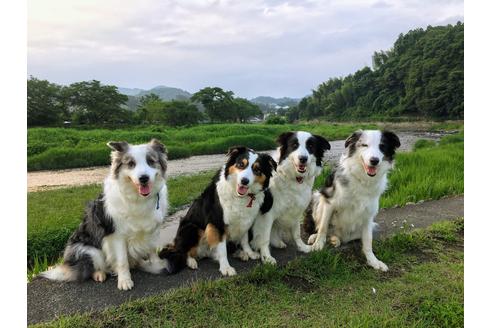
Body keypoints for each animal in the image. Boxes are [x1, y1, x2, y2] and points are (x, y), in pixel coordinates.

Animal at [39, 138, 169, 290]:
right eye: (131, 164)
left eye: (151, 161)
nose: (144, 178)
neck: (137, 198)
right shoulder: (117, 235)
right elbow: (122, 260)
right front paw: (124, 281)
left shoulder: (152, 228)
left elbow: (152, 249)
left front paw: (157, 265)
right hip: (89, 250)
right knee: (95, 266)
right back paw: (99, 274)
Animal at [160, 146, 276, 276]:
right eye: (241, 164)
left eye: (257, 169)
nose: (244, 181)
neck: (239, 195)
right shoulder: (217, 223)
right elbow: (222, 248)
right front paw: (226, 267)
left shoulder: (245, 220)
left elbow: (245, 239)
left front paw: (249, 252)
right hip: (191, 228)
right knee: (184, 251)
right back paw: (191, 261)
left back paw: (240, 254)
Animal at [304, 129, 400, 270]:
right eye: (364, 145)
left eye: (382, 146)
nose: (374, 160)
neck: (362, 179)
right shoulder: (329, 202)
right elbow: (323, 227)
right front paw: (318, 245)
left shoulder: (369, 213)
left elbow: (368, 241)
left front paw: (373, 261)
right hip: (318, 197)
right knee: (323, 226)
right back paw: (316, 237)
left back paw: (335, 239)